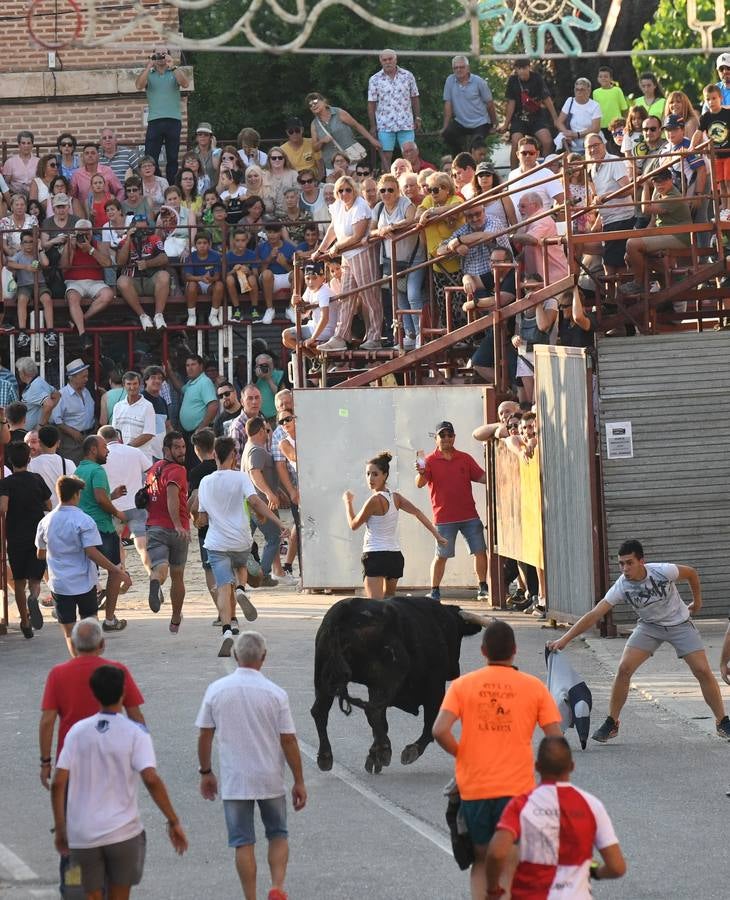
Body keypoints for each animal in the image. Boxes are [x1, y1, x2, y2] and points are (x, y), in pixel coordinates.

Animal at [308, 596, 484, 772]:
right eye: (458, 636)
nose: (455, 671)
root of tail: (345, 610)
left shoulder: (375, 687)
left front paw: (373, 756)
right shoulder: (435, 684)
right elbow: (431, 721)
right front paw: (411, 750)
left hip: (324, 679)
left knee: (320, 711)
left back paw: (326, 756)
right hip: (392, 674)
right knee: (372, 710)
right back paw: (384, 749)